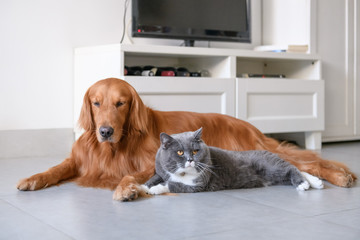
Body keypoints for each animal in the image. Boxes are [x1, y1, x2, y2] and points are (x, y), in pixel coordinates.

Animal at [143, 127, 324, 195]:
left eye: (195, 151)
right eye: (180, 152)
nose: (190, 160)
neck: (181, 173)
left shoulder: (198, 184)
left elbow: (173, 184)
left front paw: (155, 189)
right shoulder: (162, 171)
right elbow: (156, 177)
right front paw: (144, 186)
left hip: (272, 167)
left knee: (291, 168)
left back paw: (304, 184)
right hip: (275, 177)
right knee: (295, 170)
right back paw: (315, 182)